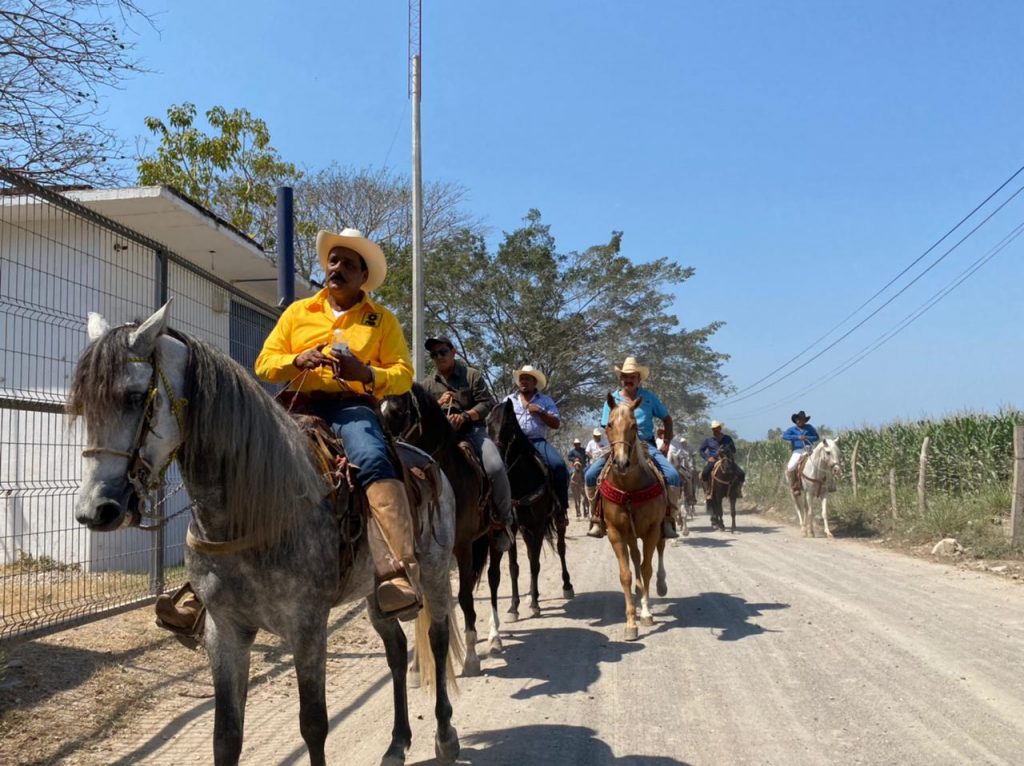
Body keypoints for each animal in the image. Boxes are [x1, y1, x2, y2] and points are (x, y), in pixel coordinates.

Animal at [68, 305, 460, 766]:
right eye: (84, 405)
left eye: (133, 397)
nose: (96, 510)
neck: (254, 510)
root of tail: (426, 461)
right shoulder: (225, 630)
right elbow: (226, 736)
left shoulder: (307, 628)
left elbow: (314, 724)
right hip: (374, 590)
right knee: (396, 650)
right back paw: (397, 743)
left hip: (434, 571)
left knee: (437, 637)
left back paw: (445, 735)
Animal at [380, 383, 499, 675]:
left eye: (397, 411)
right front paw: (417, 667)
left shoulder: (463, 547)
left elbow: (464, 597)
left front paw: (470, 658)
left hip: (494, 536)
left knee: (493, 579)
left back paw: (495, 637)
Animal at [483, 397, 573, 651]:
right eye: (487, 424)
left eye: (508, 427)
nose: (494, 459)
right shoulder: (513, 528)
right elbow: (515, 567)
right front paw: (514, 607)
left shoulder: (539, 524)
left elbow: (534, 564)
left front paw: (534, 604)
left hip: (556, 522)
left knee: (561, 549)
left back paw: (566, 587)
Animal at [598, 395, 663, 639]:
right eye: (608, 425)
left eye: (634, 426)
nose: (621, 463)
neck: (628, 489)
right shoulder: (616, 532)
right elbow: (625, 574)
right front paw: (630, 623)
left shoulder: (653, 529)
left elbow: (647, 568)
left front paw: (645, 614)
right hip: (630, 535)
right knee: (635, 557)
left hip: (660, 529)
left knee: (657, 554)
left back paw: (660, 587)